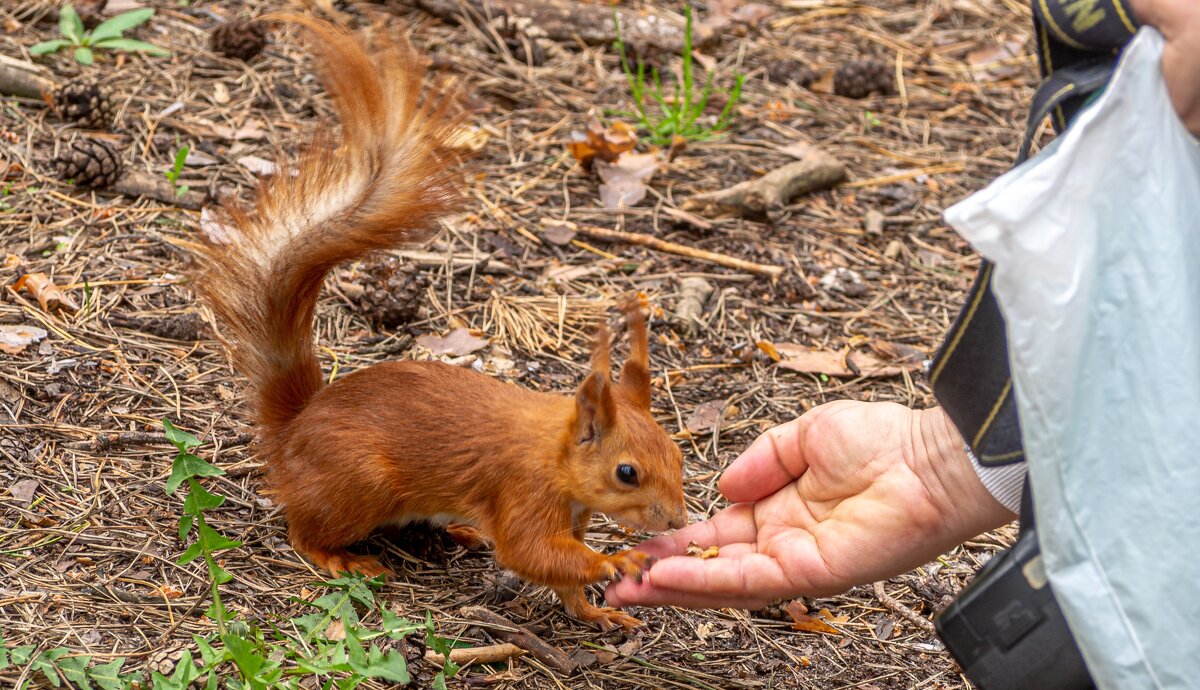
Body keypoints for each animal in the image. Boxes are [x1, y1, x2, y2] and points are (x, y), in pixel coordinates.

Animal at [192, 16, 691, 633]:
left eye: (677, 455)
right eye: (627, 473)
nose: (677, 522)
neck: (555, 453)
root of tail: (293, 433)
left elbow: (561, 579)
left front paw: (598, 614)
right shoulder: (524, 492)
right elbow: (530, 551)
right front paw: (614, 561)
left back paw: (454, 529)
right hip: (358, 483)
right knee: (303, 530)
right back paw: (341, 557)